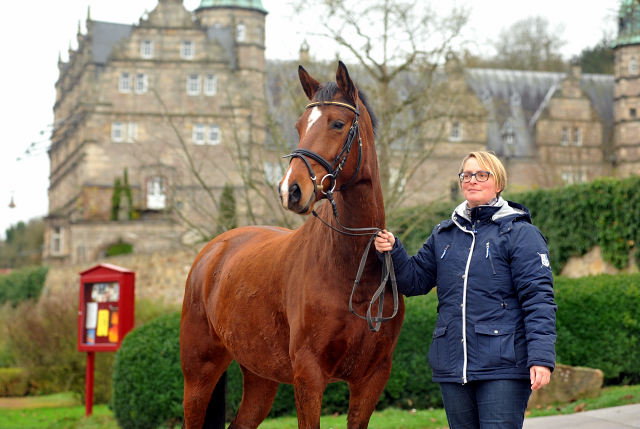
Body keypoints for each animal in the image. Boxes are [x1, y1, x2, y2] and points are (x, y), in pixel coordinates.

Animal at [180, 61, 404, 428]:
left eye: (338, 123)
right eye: (300, 125)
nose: (291, 189)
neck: (352, 271)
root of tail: (213, 250)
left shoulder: (372, 379)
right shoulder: (309, 375)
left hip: (260, 377)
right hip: (198, 374)